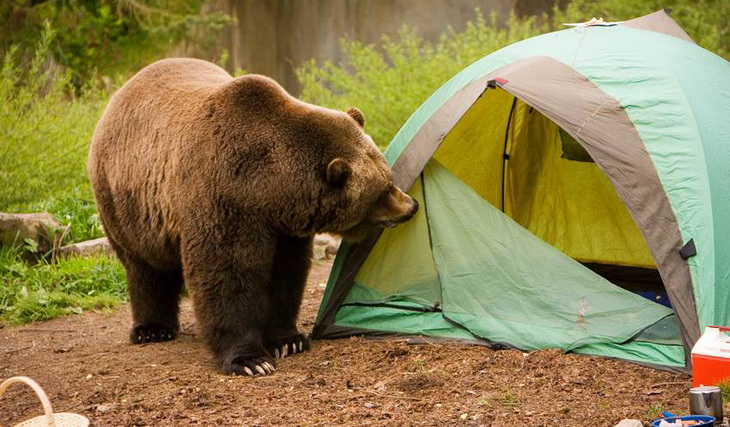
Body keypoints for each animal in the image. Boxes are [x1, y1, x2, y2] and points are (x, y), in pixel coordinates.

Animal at [86, 57, 416, 378]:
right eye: (383, 190)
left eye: (388, 175)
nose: (411, 205)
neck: (268, 186)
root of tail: (123, 90)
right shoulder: (223, 197)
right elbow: (227, 273)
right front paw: (250, 359)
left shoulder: (283, 226)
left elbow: (286, 273)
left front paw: (288, 340)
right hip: (127, 202)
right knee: (144, 266)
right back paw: (151, 329)